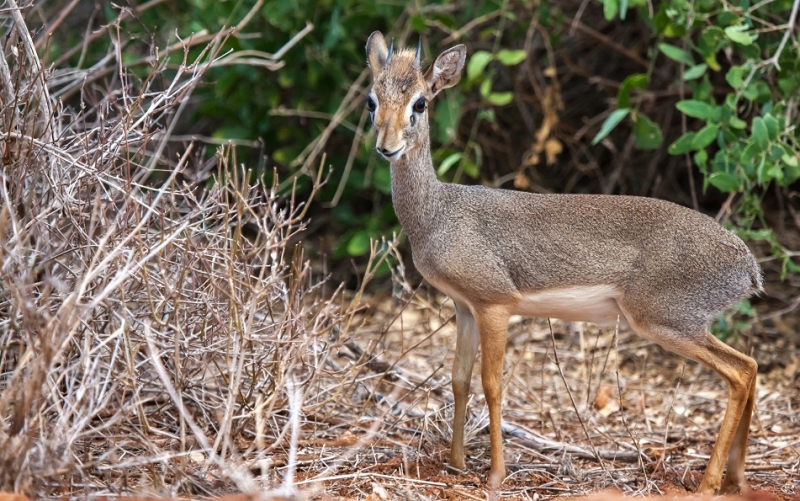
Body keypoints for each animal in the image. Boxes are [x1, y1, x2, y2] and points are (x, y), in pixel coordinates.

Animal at [362, 32, 764, 496]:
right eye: (372, 100)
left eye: (421, 102)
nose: (386, 147)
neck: (438, 215)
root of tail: (748, 266)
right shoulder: (463, 306)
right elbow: (458, 380)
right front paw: (456, 463)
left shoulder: (495, 304)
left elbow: (492, 385)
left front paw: (496, 475)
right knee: (750, 367)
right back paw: (737, 479)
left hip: (666, 322)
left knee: (740, 371)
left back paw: (708, 484)